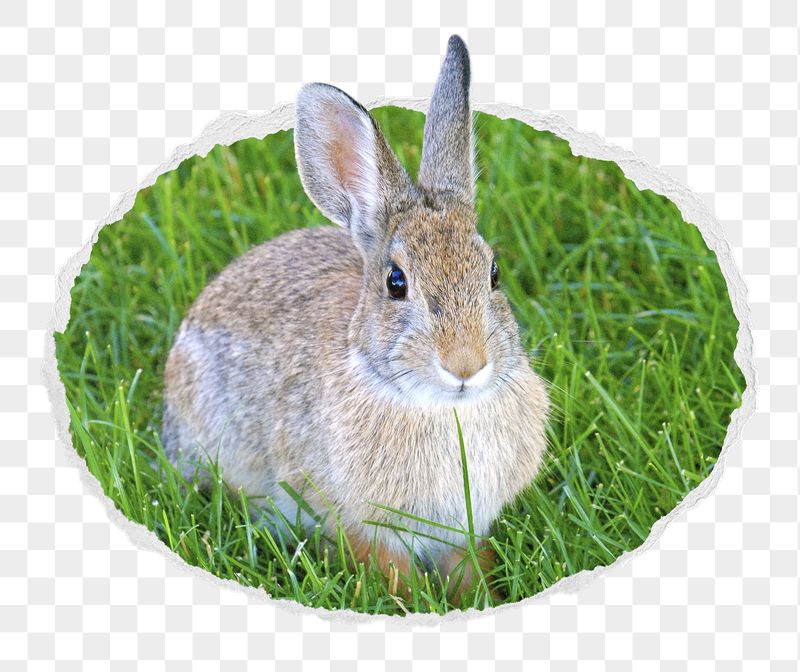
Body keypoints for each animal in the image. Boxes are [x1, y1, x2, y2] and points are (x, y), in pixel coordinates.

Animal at [162, 34, 549, 597]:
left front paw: (481, 597)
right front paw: (415, 604)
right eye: (396, 282)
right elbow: (388, 569)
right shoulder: (358, 520)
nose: (466, 365)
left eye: (493, 273)